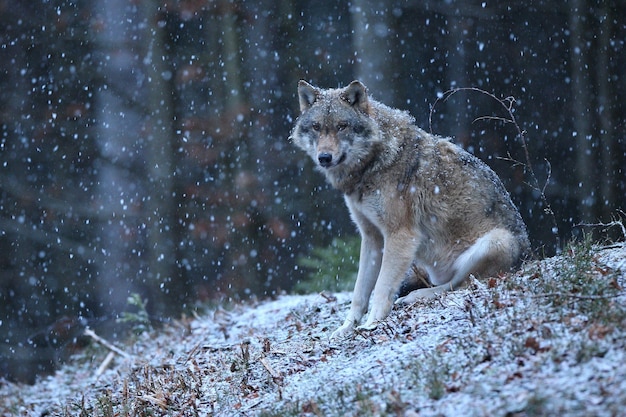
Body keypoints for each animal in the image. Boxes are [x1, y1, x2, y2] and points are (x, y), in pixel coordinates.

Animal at [288, 80, 528, 338]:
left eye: (342, 126)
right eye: (316, 127)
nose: (324, 157)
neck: (373, 163)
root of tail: (528, 255)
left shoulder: (400, 235)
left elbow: (381, 288)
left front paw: (372, 324)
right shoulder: (371, 238)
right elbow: (359, 292)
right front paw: (346, 328)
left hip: (496, 241)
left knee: (460, 285)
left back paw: (416, 296)